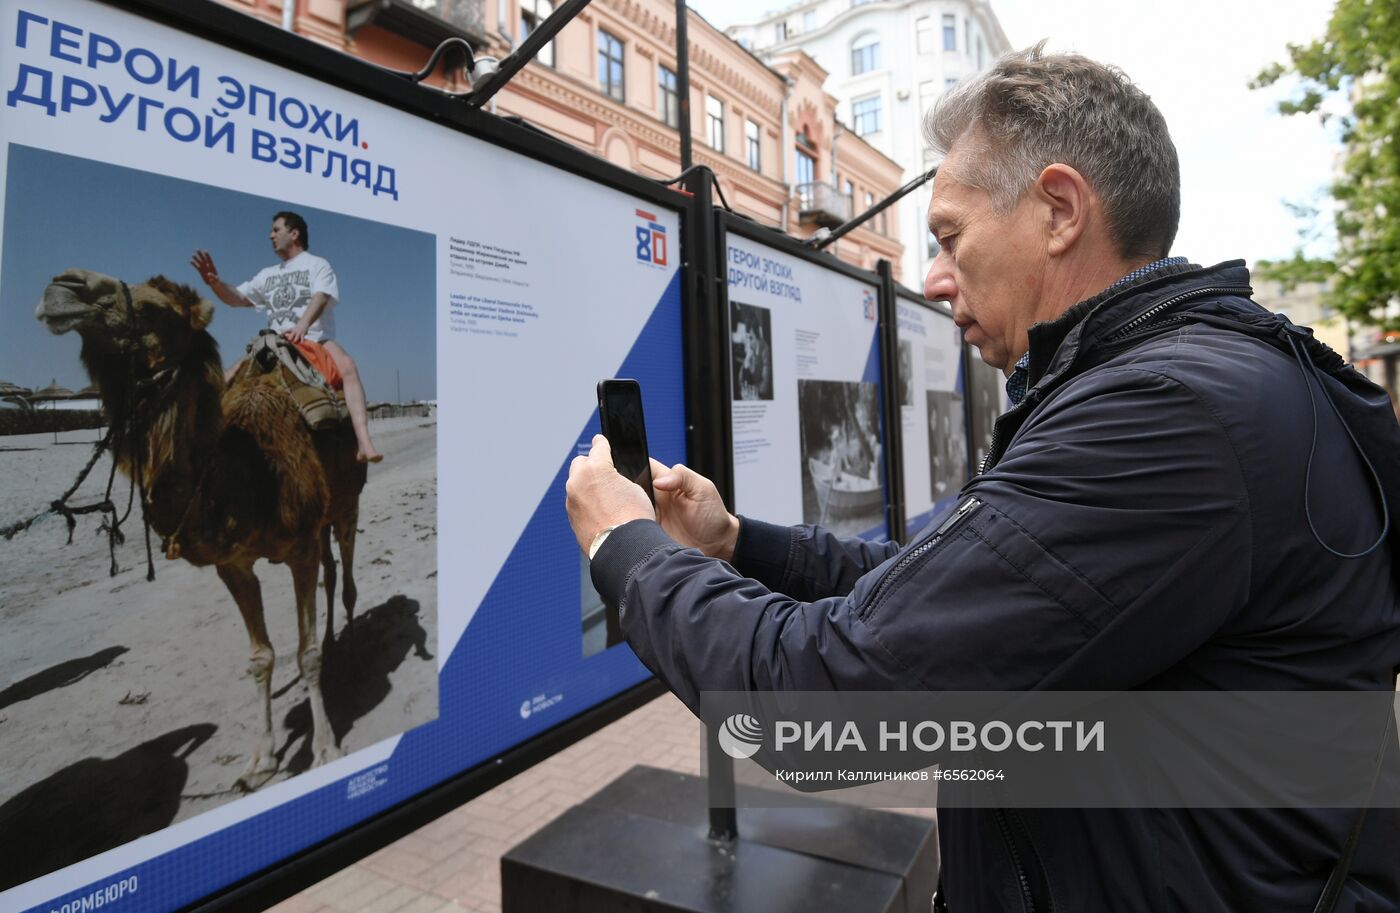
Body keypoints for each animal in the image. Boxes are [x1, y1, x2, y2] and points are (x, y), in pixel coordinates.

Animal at [37, 267, 366, 789]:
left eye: (156, 310)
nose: (64, 287)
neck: (245, 473)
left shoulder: (298, 549)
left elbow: (305, 652)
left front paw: (325, 749)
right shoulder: (232, 564)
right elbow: (262, 657)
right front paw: (260, 759)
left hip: (349, 500)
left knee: (349, 578)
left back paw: (350, 651)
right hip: (324, 517)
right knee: (332, 573)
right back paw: (337, 642)